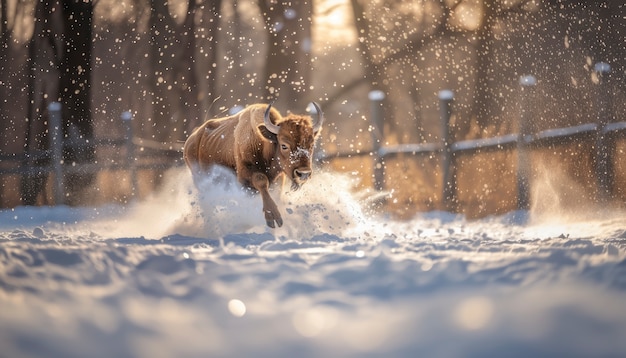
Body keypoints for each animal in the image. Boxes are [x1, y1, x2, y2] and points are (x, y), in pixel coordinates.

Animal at [183, 102, 324, 228]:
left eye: (312, 145)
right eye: (284, 145)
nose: (304, 173)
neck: (264, 143)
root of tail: (190, 141)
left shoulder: (278, 179)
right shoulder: (245, 176)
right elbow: (261, 181)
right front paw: (272, 216)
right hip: (201, 182)